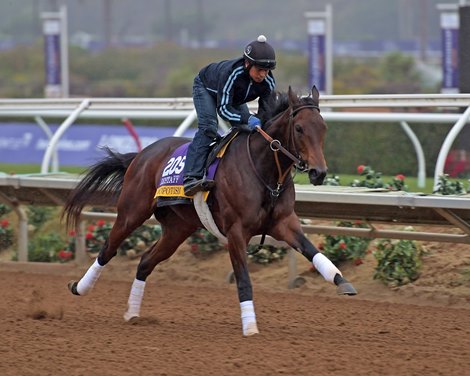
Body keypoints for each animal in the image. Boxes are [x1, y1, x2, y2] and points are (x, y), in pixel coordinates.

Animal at [62, 86, 356, 338]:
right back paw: (80, 287)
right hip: (131, 213)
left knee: (145, 262)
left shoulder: (284, 223)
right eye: (299, 128)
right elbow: (243, 279)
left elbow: (312, 251)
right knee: (108, 249)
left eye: (324, 128)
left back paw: (132, 313)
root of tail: (140, 155)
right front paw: (250, 326)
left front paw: (342, 281)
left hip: (178, 229)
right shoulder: (236, 232)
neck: (265, 171)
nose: (319, 173)